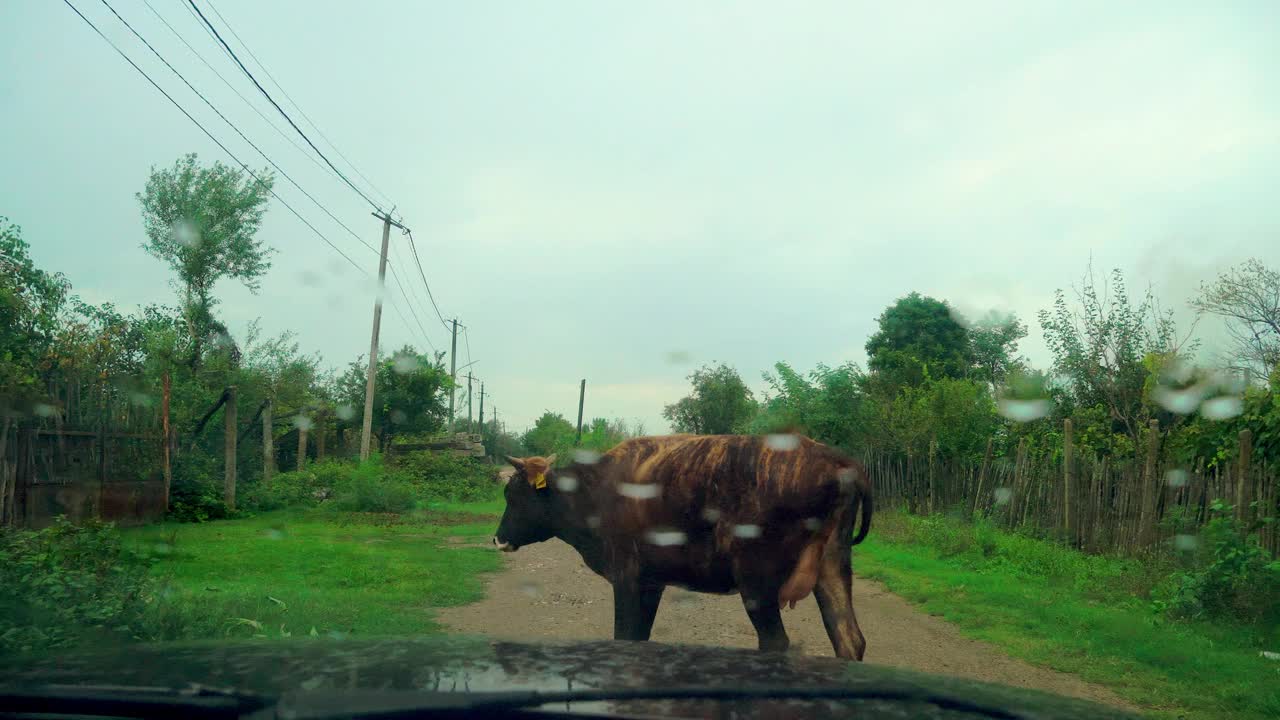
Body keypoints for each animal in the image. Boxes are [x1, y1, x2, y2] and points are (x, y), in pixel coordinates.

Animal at [488, 427, 870, 661]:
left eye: (513, 495)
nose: (498, 538)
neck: (593, 493)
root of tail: (836, 461)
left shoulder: (627, 576)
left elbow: (624, 635)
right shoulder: (651, 583)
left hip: (756, 581)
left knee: (776, 643)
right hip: (832, 569)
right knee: (849, 639)